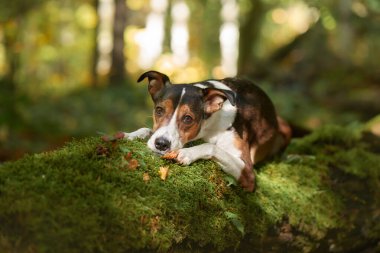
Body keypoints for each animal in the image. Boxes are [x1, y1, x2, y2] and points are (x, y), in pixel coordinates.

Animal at [122, 70, 290, 191]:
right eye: (159, 110)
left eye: (188, 118)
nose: (161, 144)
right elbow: (147, 130)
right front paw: (130, 135)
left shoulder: (247, 172)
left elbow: (212, 147)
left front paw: (187, 153)